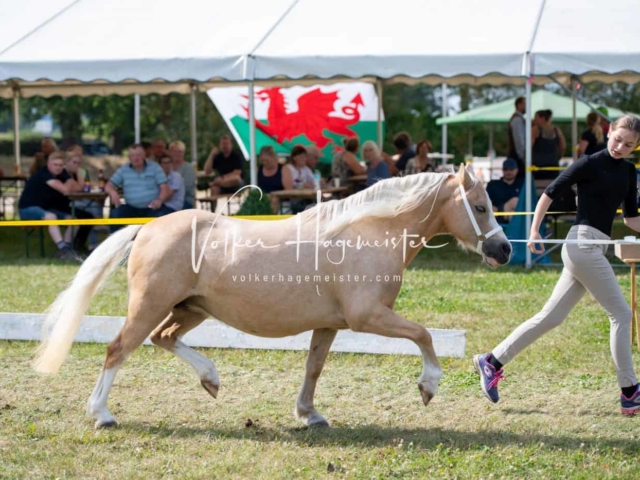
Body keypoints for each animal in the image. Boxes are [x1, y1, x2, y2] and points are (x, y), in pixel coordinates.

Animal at [33, 164, 510, 428]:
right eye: (480, 207)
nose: (503, 250)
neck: (369, 233)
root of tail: (147, 227)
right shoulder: (368, 317)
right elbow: (424, 335)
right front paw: (428, 386)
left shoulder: (330, 325)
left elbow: (314, 368)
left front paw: (310, 415)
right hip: (149, 306)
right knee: (118, 349)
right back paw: (102, 415)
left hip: (189, 310)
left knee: (163, 338)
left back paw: (211, 379)